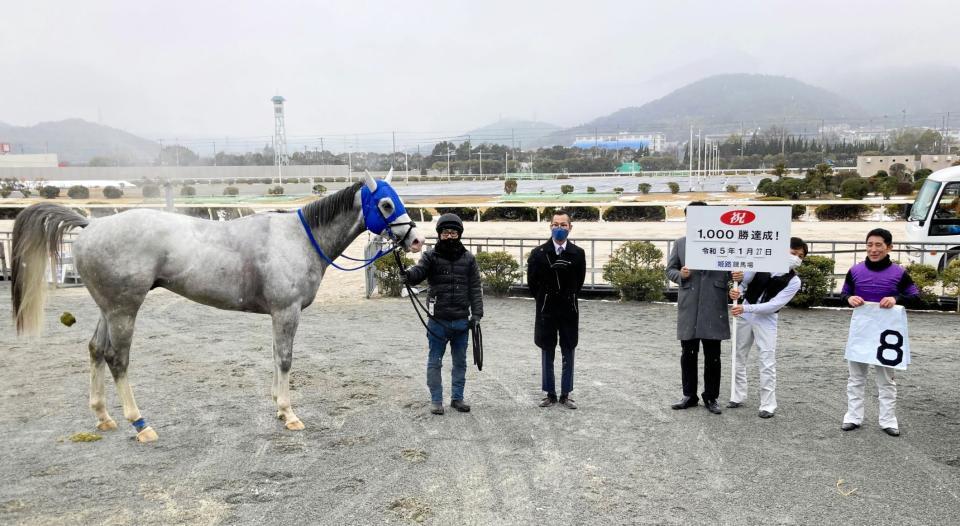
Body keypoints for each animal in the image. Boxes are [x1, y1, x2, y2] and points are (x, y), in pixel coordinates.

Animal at [11, 173, 424, 442]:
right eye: (386, 203)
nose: (417, 240)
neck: (299, 239)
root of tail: (90, 226)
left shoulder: (277, 315)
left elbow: (274, 356)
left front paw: (278, 408)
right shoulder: (286, 311)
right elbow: (285, 359)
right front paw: (289, 414)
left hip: (107, 309)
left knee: (96, 350)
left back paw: (103, 417)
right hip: (124, 310)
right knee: (117, 359)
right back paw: (139, 423)